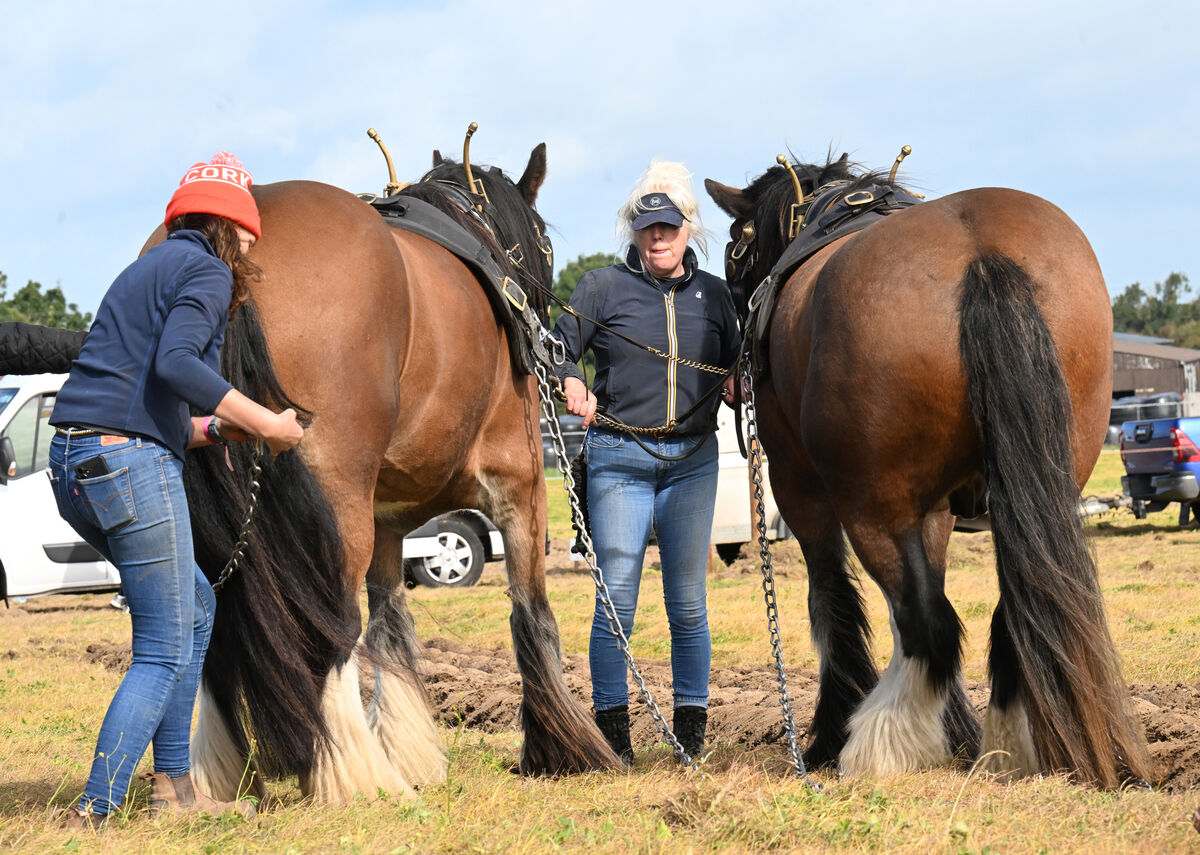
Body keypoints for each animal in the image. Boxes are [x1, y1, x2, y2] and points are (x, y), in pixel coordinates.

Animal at [165, 141, 621, 804]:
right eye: (543, 240)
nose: (548, 340)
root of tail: (226, 246)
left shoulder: (386, 518)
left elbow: (390, 622)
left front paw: (410, 751)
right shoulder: (522, 483)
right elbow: (531, 611)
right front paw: (566, 750)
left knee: (213, 628)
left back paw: (221, 775)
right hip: (337, 503)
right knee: (331, 626)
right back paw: (355, 778)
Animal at [704, 153, 1154, 789]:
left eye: (734, 248)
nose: (732, 368)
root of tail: (983, 257)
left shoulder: (799, 487)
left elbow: (832, 601)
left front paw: (831, 734)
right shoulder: (935, 509)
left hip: (872, 505)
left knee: (926, 625)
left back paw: (877, 744)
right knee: (1006, 620)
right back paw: (1005, 749)